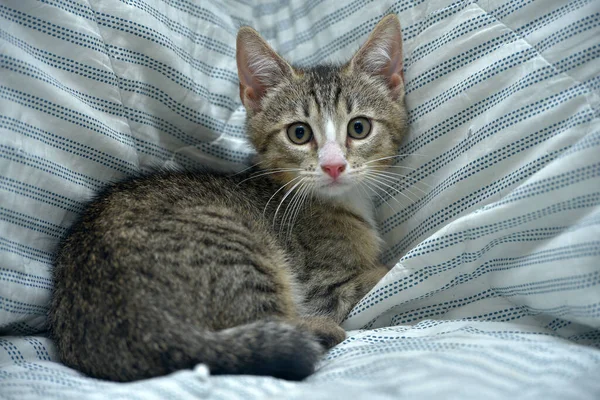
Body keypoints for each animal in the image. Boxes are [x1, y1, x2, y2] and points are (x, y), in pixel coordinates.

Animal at [50, 13, 408, 382]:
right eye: (299, 133)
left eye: (359, 128)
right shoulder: (321, 287)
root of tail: (136, 326)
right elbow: (379, 272)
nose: (334, 165)